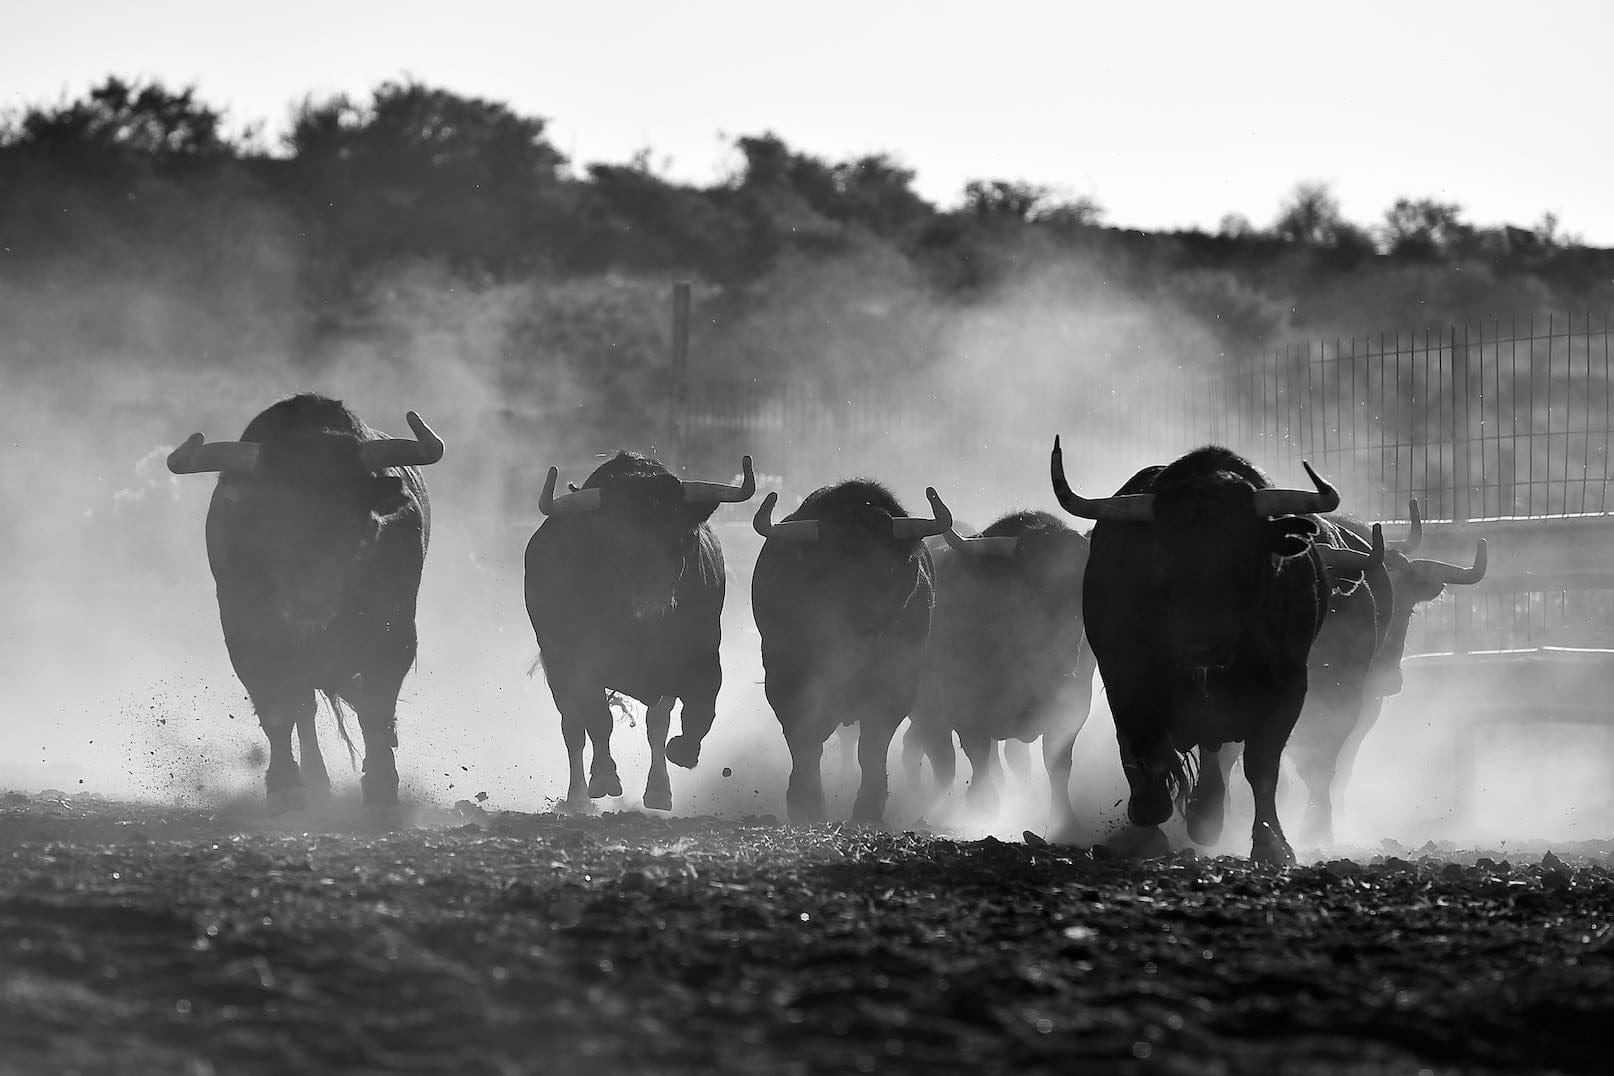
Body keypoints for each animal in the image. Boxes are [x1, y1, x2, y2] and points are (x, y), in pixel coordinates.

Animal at [166, 393, 443, 821]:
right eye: (268, 518)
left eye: (354, 517)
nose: (309, 600)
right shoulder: (247, 636)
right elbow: (277, 710)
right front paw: (286, 788)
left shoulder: (395, 635)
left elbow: (376, 708)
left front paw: (381, 788)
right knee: (303, 710)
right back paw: (315, 780)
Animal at [525, 451, 754, 811]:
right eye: (613, 537)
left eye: (681, 533)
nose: (652, 595)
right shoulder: (580, 665)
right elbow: (598, 720)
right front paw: (605, 777)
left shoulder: (703, 658)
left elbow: (701, 711)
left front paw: (683, 752)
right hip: (556, 666)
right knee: (573, 728)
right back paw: (577, 797)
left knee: (656, 726)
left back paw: (658, 790)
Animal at [751, 480, 952, 824]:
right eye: (826, 568)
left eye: (887, 568)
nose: (862, 624)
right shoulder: (785, 678)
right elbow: (804, 739)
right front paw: (806, 803)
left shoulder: (896, 686)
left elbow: (871, 749)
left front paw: (868, 809)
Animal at [900, 511, 1096, 836]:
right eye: (1033, 588)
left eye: (1083, 585)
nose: (1066, 657)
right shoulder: (965, 707)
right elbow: (977, 755)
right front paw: (983, 806)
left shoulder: (1073, 706)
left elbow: (1056, 763)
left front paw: (1067, 822)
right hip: (927, 712)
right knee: (941, 760)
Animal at [1051, 439, 1379, 864]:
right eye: (1162, 555)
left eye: (1243, 554)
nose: (1200, 644)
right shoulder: (1124, 677)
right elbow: (1146, 751)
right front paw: (1146, 814)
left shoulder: (1289, 686)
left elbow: (1262, 766)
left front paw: (1271, 843)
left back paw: (1207, 815)